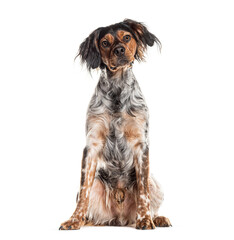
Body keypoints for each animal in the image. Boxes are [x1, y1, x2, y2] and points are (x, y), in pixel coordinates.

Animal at [59, 19, 171, 231]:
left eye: (126, 37)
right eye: (104, 43)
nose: (119, 50)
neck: (117, 89)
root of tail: (119, 219)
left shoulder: (141, 144)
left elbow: (143, 192)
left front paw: (145, 219)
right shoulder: (92, 145)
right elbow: (83, 193)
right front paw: (74, 220)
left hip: (155, 183)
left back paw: (158, 218)